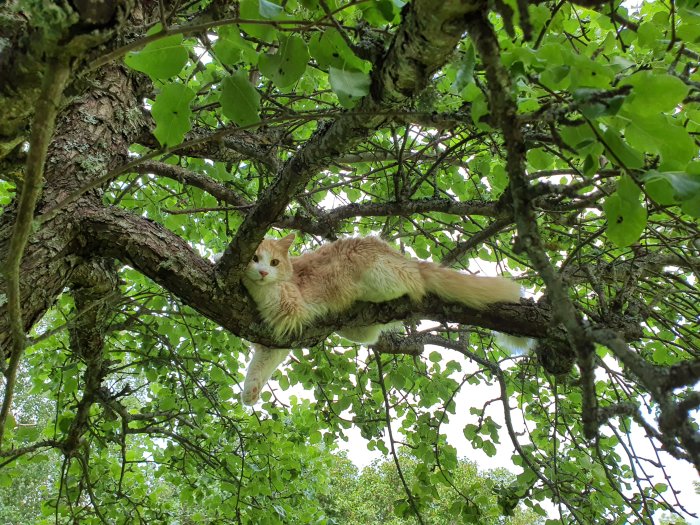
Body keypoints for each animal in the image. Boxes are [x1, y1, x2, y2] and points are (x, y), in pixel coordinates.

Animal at [241, 234, 520, 406]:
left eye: (273, 262)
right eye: (255, 257)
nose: (263, 271)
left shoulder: (288, 303)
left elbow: (265, 288)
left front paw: (247, 276)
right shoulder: (275, 342)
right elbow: (259, 367)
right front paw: (250, 392)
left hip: (378, 275)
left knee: (415, 283)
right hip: (357, 331)